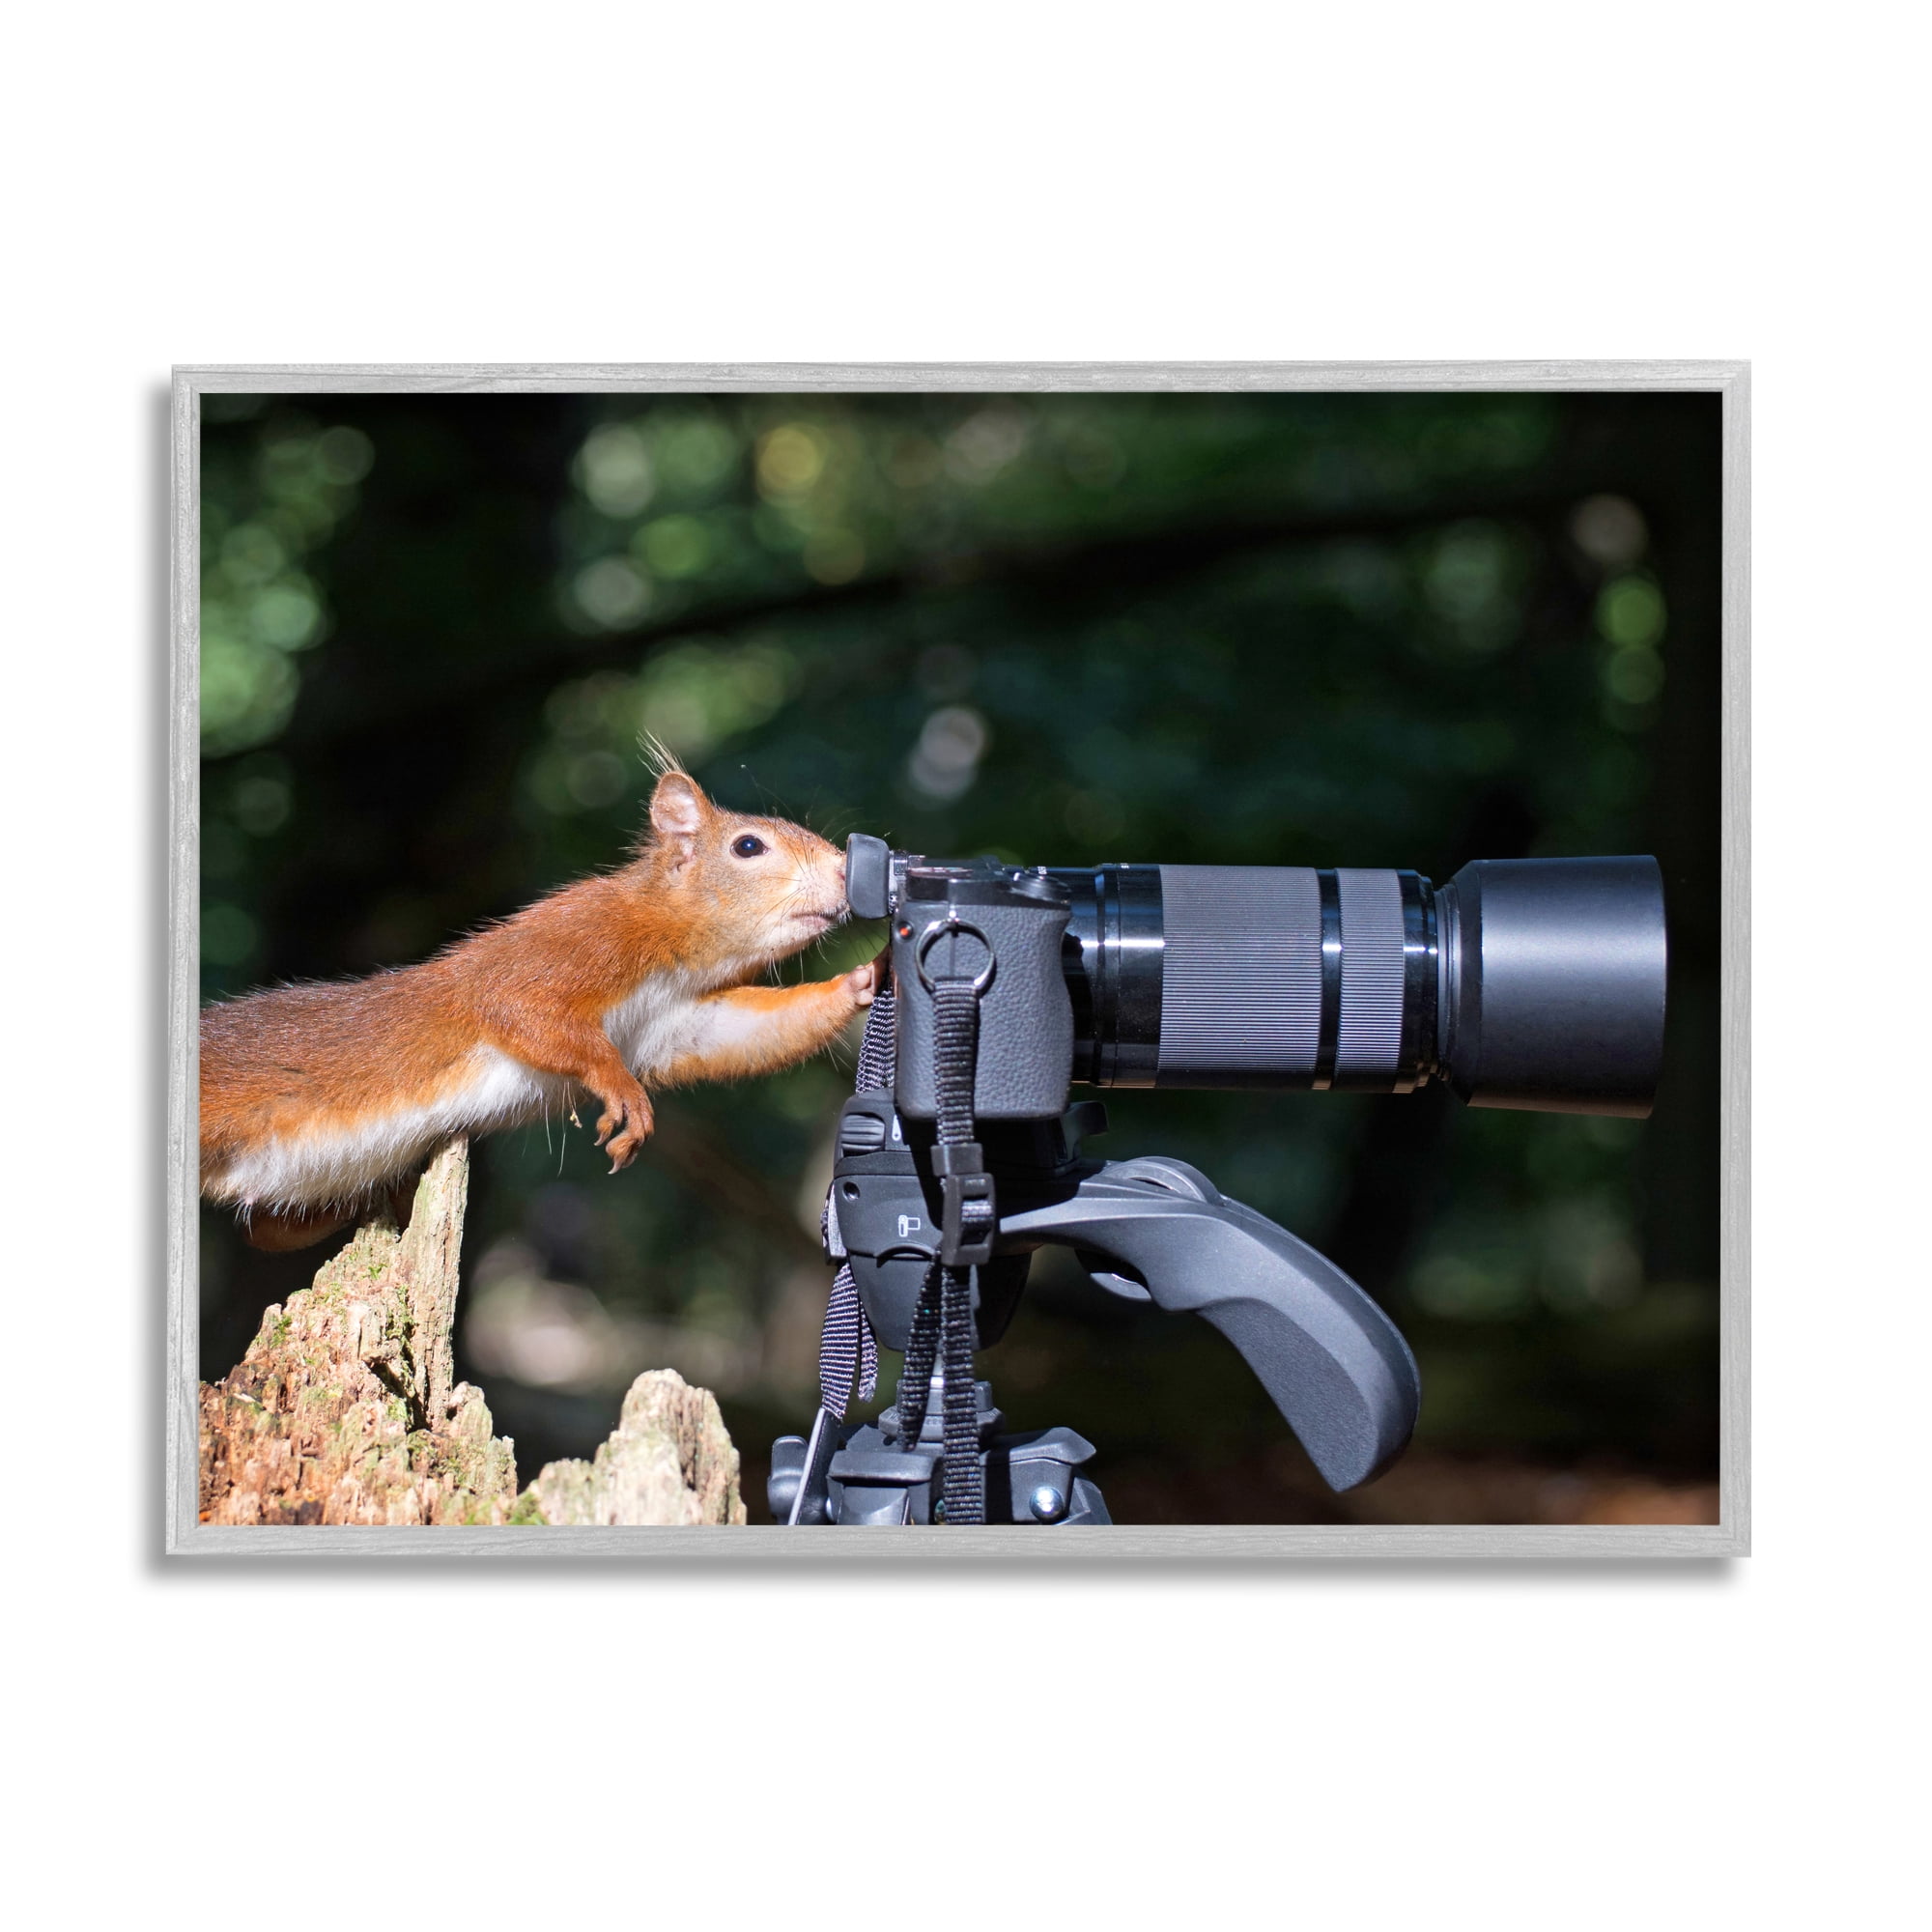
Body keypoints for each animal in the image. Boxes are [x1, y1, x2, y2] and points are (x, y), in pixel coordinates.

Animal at [200, 763, 880, 1253]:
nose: (846, 871)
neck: (676, 953)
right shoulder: (565, 945)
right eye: (748, 846)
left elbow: (741, 1032)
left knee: (267, 1233)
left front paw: (868, 976)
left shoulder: (675, 1024)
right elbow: (518, 1008)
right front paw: (620, 1091)